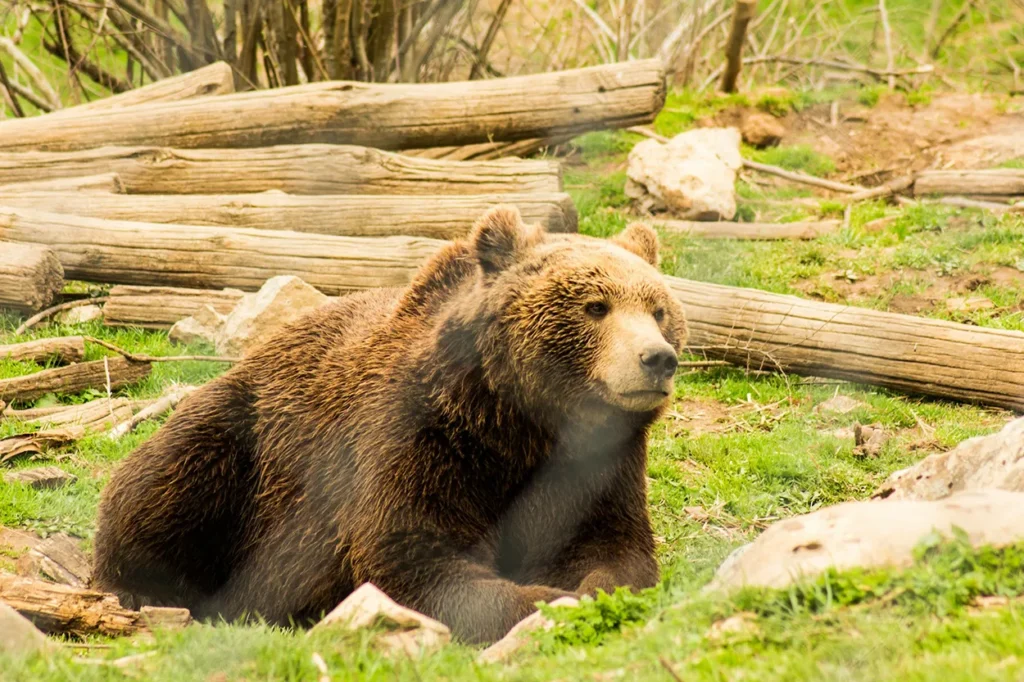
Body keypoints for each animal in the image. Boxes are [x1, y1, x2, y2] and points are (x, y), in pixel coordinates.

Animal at [92, 206, 688, 645]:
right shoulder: (421, 437)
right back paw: (148, 590)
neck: (519, 422)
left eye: (658, 309)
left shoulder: (599, 463)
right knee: (163, 481)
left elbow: (613, 549)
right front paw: (542, 599)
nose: (657, 359)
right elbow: (410, 552)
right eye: (595, 305)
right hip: (246, 438)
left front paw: (591, 589)